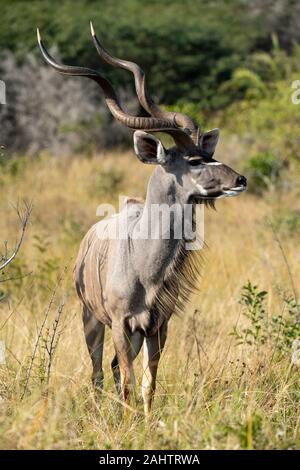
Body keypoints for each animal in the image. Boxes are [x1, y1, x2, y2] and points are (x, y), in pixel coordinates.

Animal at [37, 23, 246, 414]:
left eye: (207, 152)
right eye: (194, 160)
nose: (240, 179)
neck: (144, 263)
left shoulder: (157, 326)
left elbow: (148, 385)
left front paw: (145, 421)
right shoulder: (121, 324)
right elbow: (128, 384)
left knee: (114, 369)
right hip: (91, 320)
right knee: (99, 372)